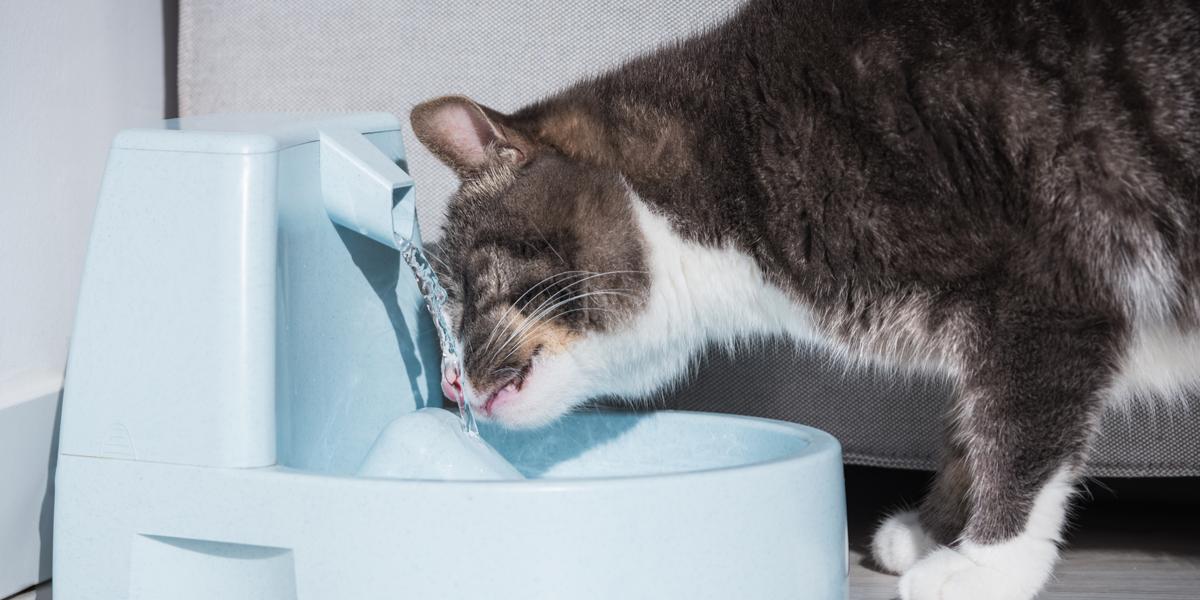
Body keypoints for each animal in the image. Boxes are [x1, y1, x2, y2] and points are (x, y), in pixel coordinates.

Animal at [408, 2, 1195, 597]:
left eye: (467, 286)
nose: (452, 381)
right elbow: (970, 420)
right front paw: (934, 529)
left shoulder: (1049, 291)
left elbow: (1019, 432)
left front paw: (986, 564)